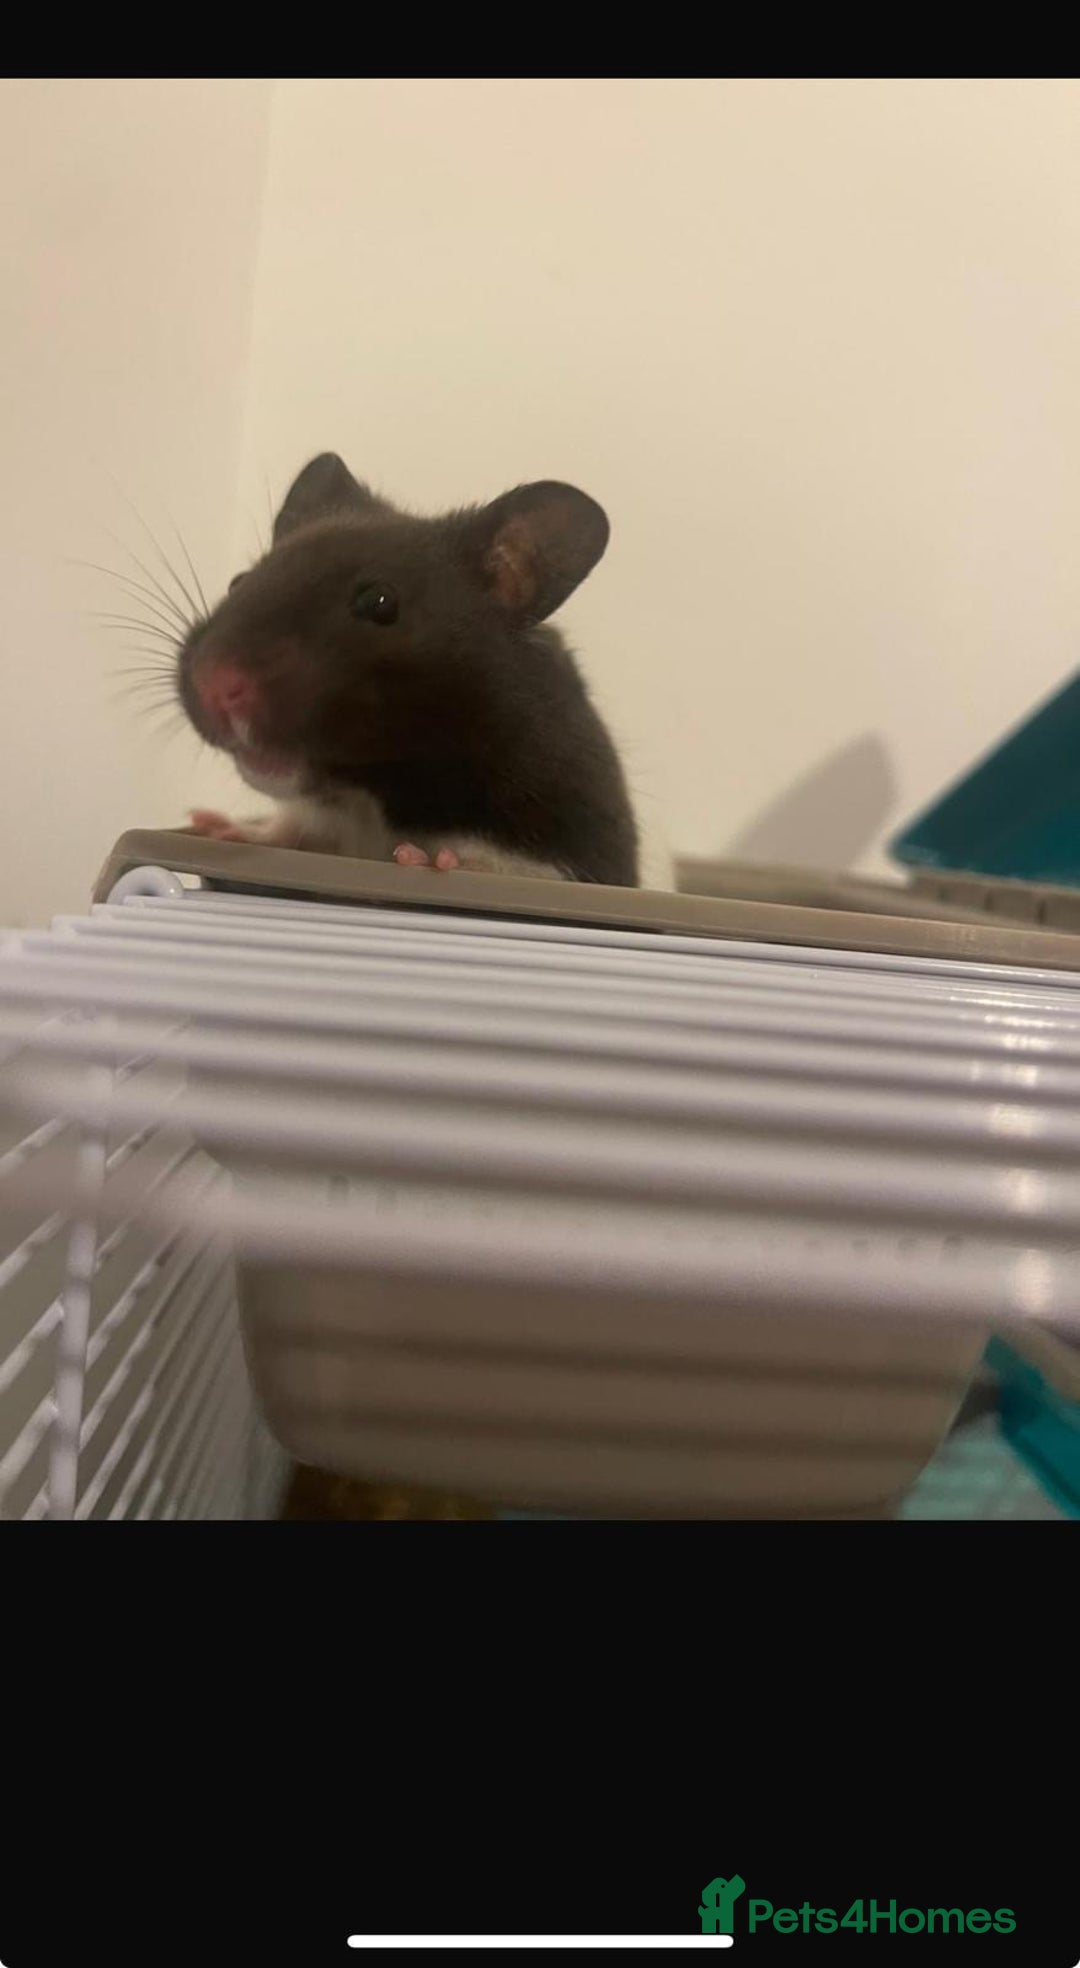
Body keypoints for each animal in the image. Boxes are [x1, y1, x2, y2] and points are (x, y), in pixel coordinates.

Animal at [175, 453, 639, 886]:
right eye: (237, 582)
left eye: (380, 601)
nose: (210, 686)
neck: (372, 795)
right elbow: (293, 829)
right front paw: (216, 826)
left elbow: (509, 865)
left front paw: (429, 860)